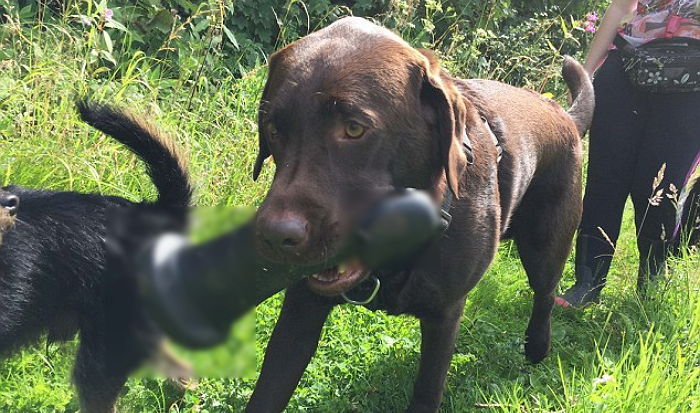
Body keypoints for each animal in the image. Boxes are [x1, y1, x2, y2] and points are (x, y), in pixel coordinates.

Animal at [249, 17, 592, 410]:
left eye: (354, 128)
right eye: (273, 128)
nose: (275, 235)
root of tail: (563, 115)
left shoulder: (444, 315)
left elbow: (428, 390)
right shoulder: (301, 309)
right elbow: (268, 390)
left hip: (546, 245)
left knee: (545, 293)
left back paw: (537, 347)